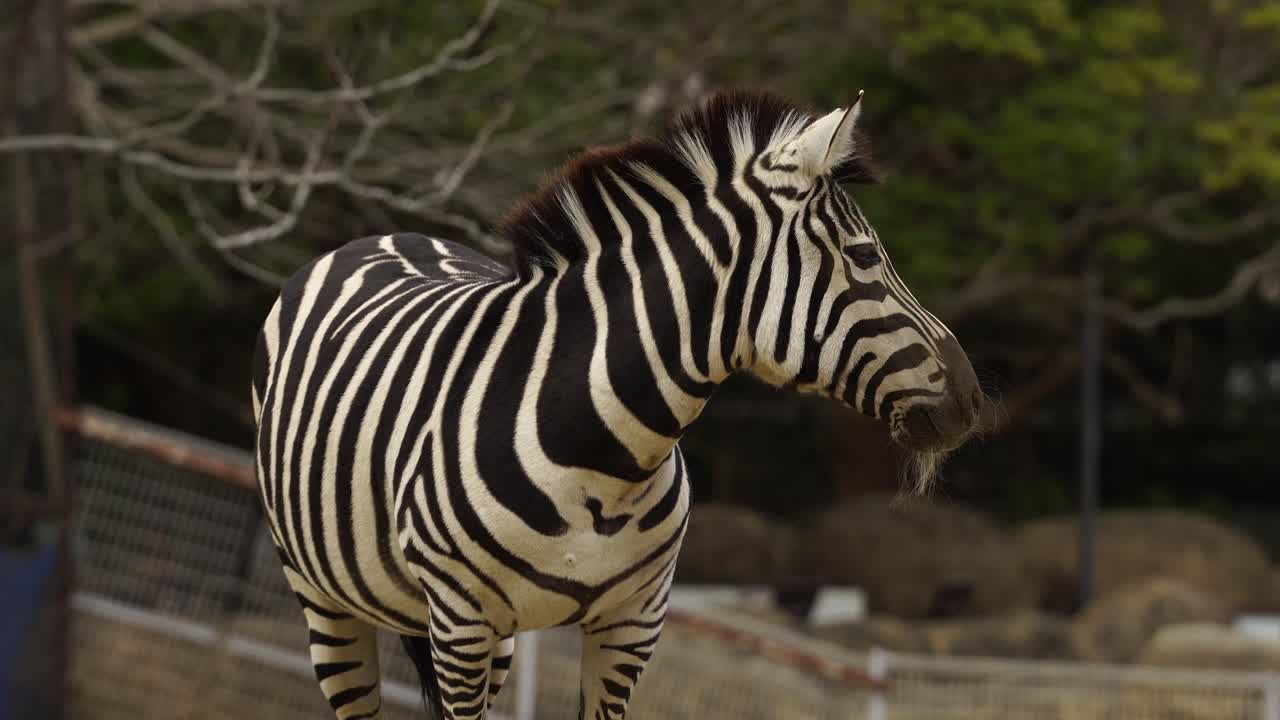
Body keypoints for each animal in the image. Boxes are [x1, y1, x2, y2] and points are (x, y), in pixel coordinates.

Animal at [252, 88, 981, 720]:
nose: (972, 400)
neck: (602, 459)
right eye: (864, 256)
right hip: (327, 600)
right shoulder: (461, 620)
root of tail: (383, 236)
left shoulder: (632, 624)